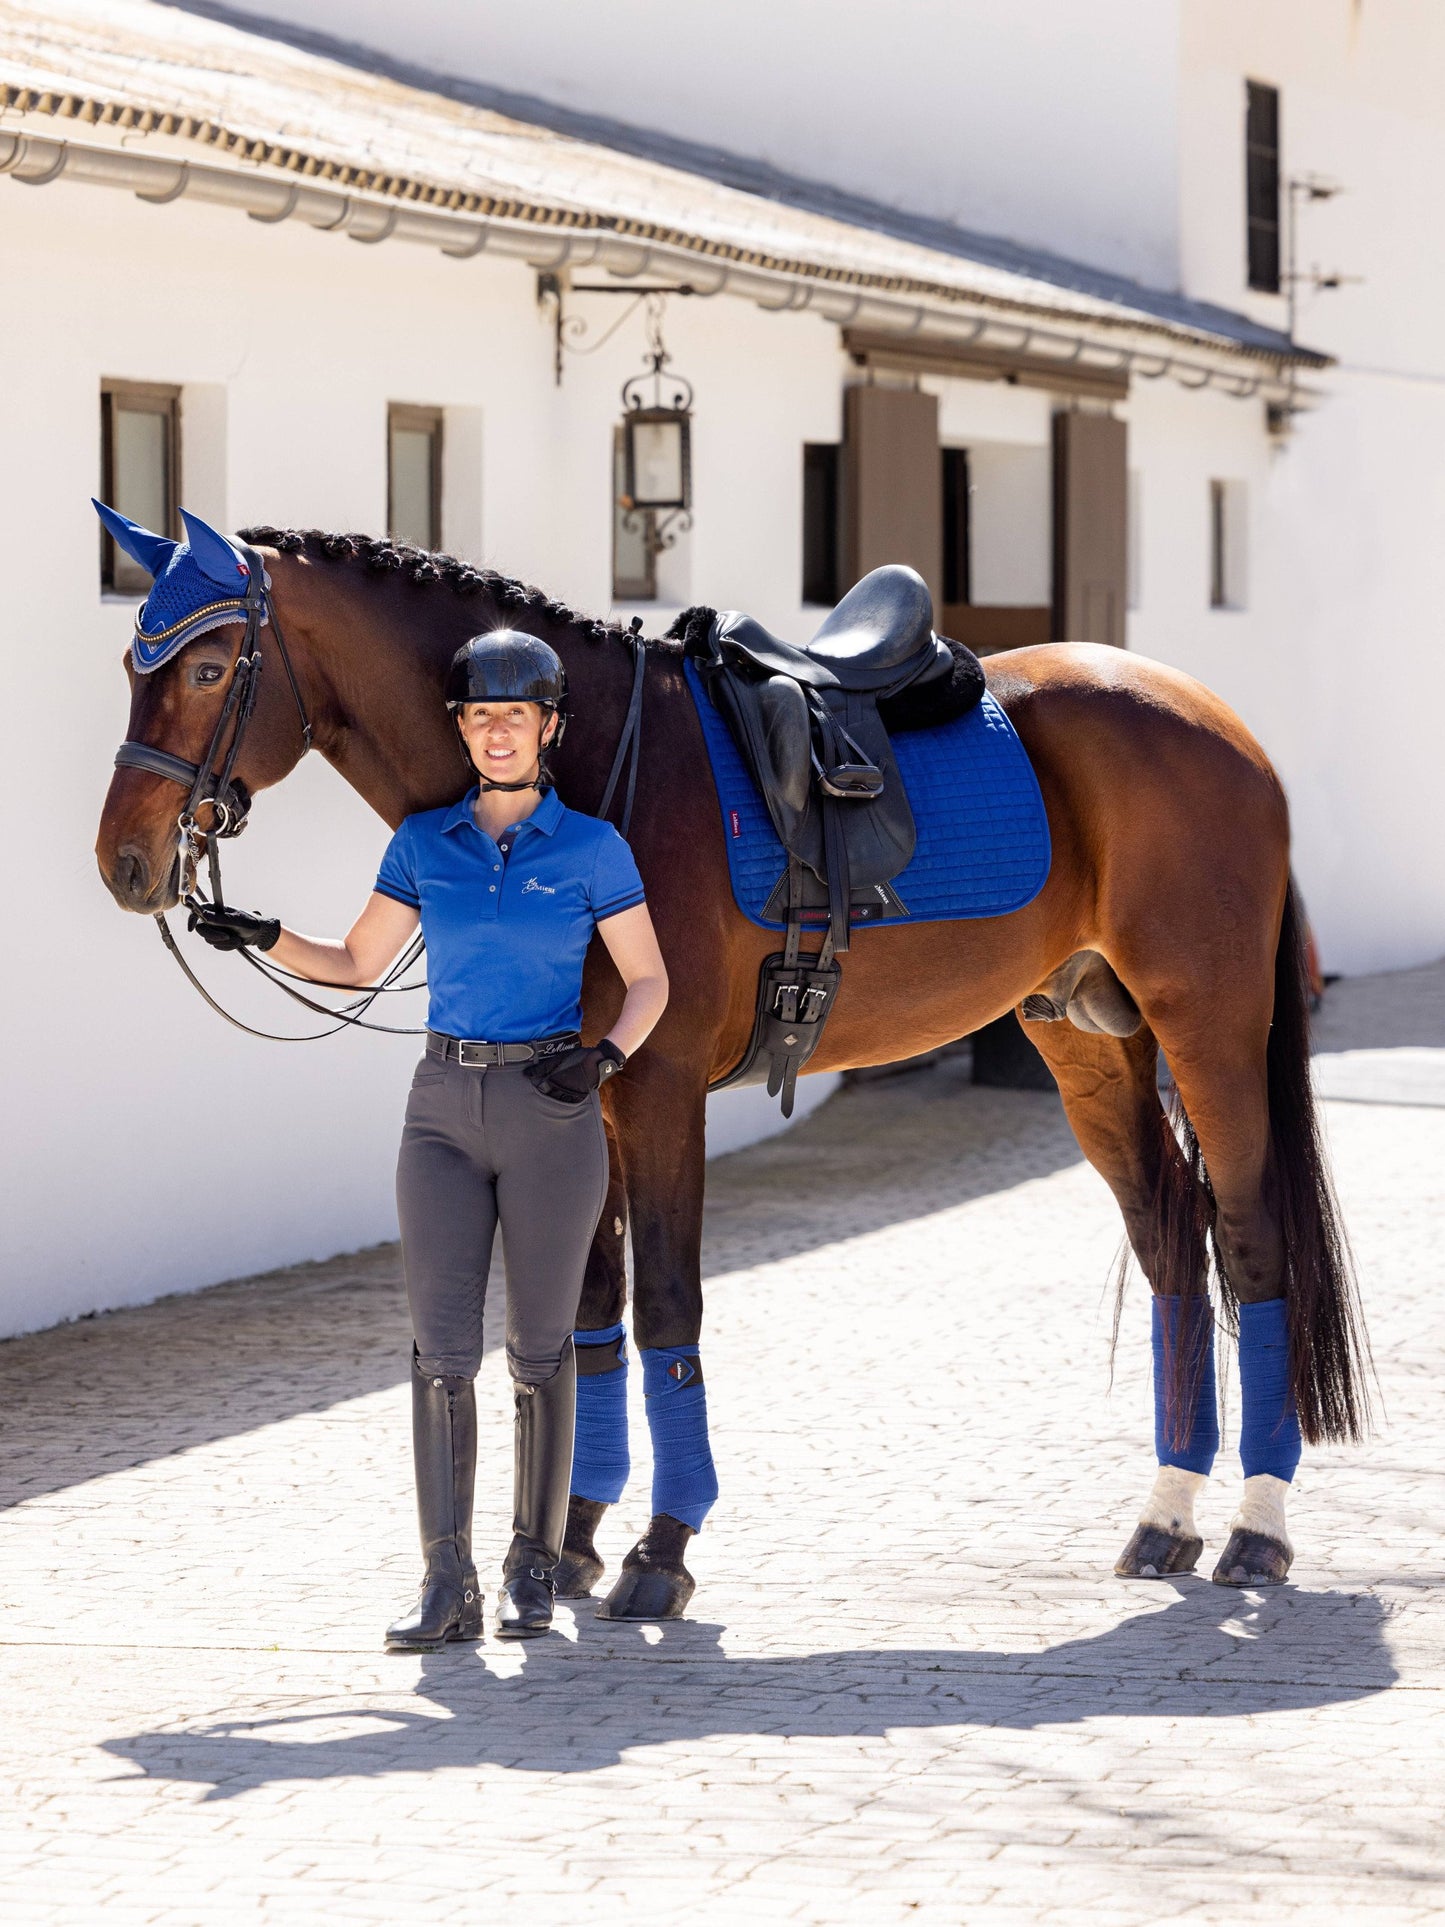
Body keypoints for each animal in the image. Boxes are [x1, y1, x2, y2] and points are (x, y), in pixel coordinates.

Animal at [95, 524, 1369, 1616]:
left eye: (206, 666)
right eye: (131, 658)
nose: (124, 859)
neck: (589, 763)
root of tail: (1217, 722)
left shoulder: (655, 1092)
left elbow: (665, 1306)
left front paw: (661, 1550)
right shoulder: (583, 1096)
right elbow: (587, 1315)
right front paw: (572, 1538)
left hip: (1206, 1027)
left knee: (1249, 1238)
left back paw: (1254, 1528)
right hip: (1087, 1037)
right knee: (1170, 1243)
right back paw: (1165, 1516)